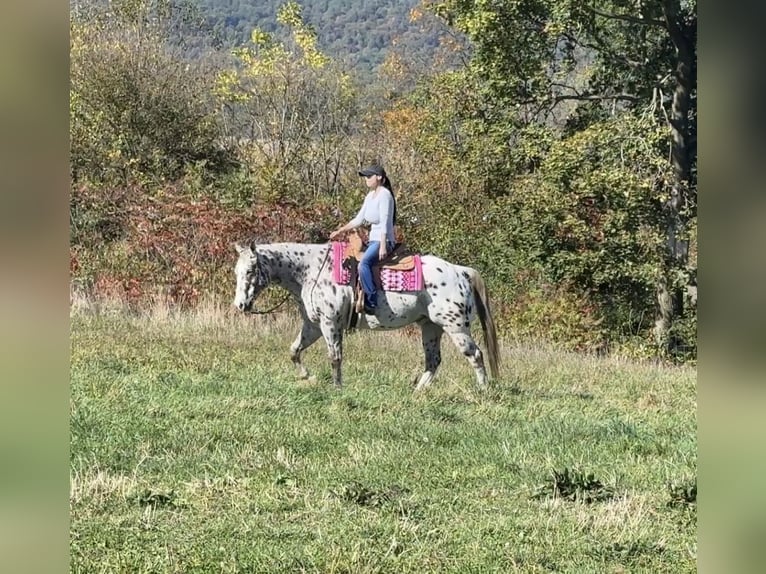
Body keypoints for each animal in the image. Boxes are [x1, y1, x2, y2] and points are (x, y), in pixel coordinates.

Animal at [232, 236, 500, 391]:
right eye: (237, 271)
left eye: (251, 270)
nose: (240, 305)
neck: (310, 271)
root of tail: (460, 271)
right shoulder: (313, 326)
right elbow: (294, 351)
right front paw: (308, 377)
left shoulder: (330, 324)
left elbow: (335, 356)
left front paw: (337, 388)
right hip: (431, 327)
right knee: (433, 361)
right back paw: (417, 392)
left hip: (456, 327)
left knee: (475, 355)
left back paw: (483, 391)